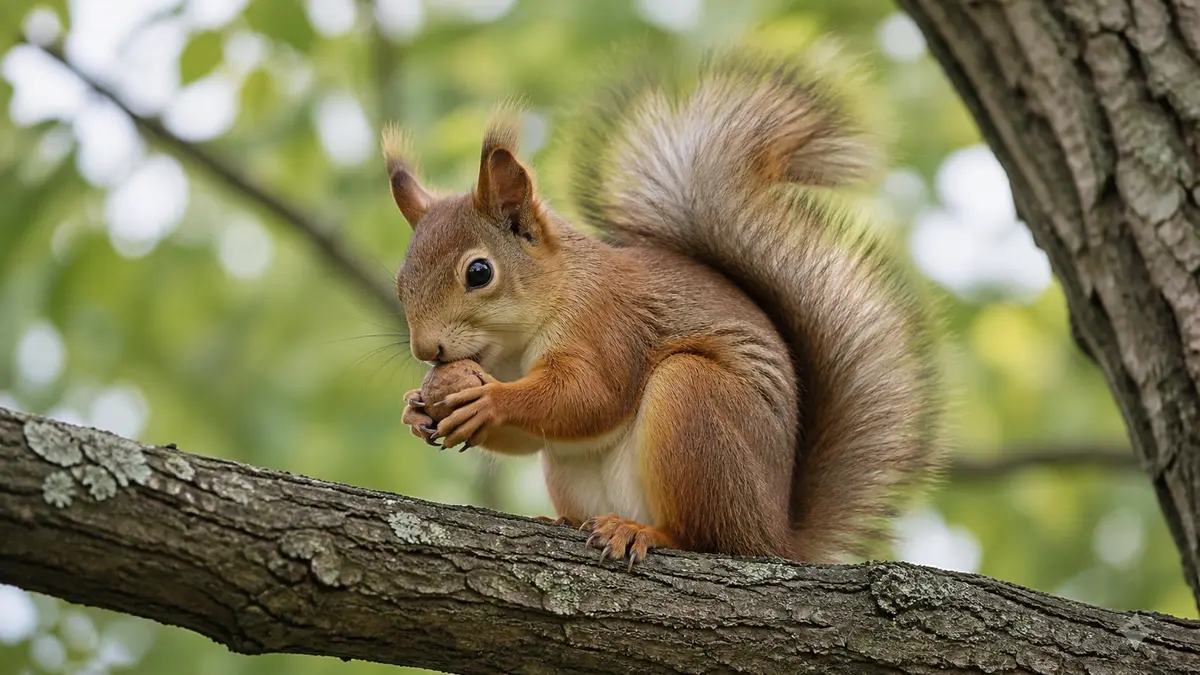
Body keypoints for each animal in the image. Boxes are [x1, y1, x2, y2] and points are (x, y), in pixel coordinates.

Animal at [386, 48, 943, 567]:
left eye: (479, 272)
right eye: (399, 282)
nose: (426, 349)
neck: (519, 341)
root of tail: (774, 537)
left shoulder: (610, 325)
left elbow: (591, 396)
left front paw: (488, 400)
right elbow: (531, 438)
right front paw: (415, 408)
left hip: (693, 407)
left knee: (704, 537)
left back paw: (644, 532)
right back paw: (564, 519)